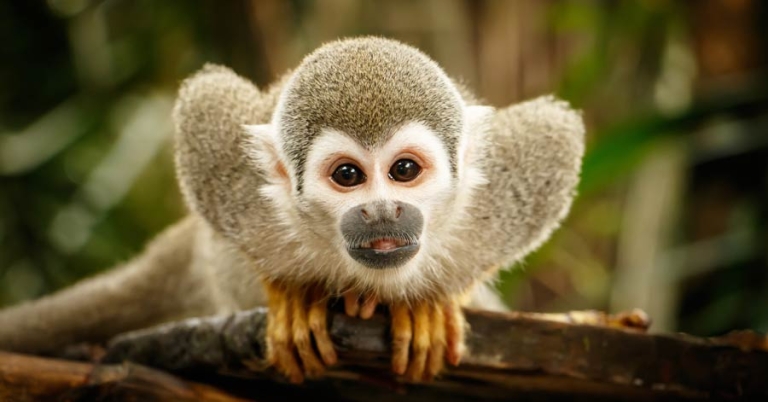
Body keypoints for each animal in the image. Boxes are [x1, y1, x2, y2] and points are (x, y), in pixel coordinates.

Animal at [0, 37, 585, 384]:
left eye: (404, 171)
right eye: (348, 176)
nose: (382, 212)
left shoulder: (502, 194)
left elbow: (556, 134)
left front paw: (433, 302)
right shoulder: (237, 190)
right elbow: (206, 101)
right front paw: (290, 294)